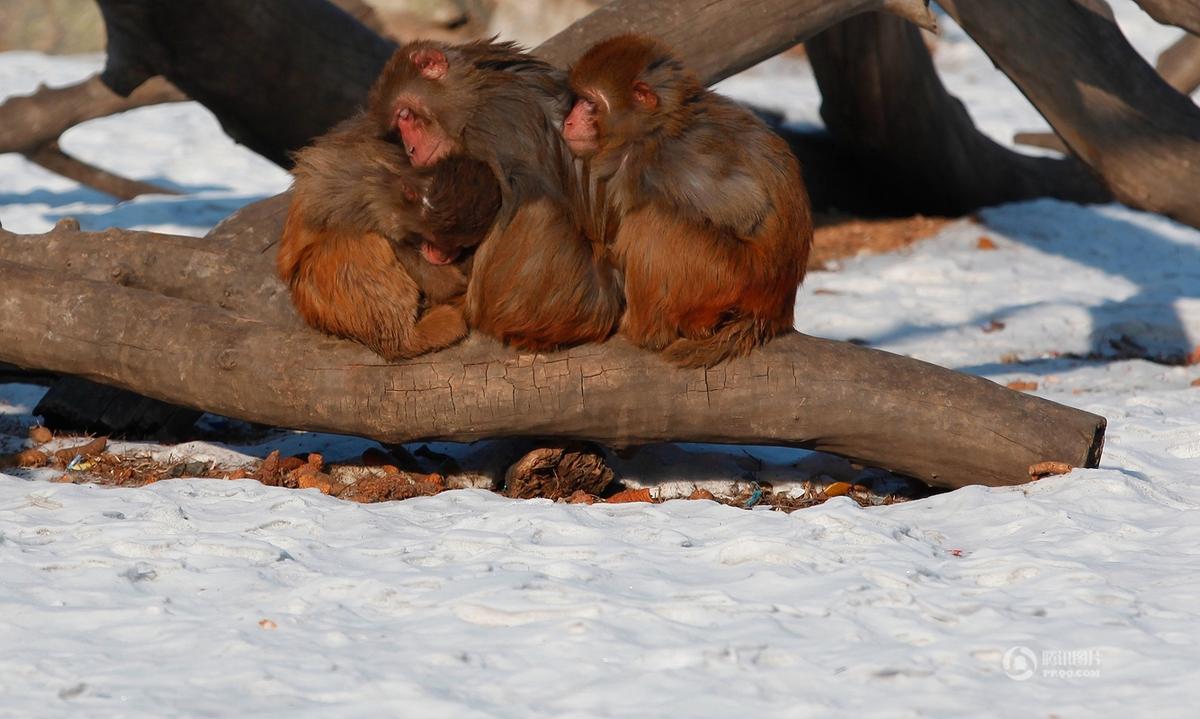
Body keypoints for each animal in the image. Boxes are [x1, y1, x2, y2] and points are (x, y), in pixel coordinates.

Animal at [277, 106, 501, 360]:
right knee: (361, 243)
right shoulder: (372, 194)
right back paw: (408, 339)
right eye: (434, 240)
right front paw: (450, 285)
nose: (442, 256)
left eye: (459, 246)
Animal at [374, 40, 624, 352]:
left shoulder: (492, 122)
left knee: (536, 211)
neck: (475, 91)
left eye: (406, 116)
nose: (410, 150)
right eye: (398, 128)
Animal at [559, 34, 806, 369]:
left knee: (650, 221)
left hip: (730, 276)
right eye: (579, 100)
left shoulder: (665, 161)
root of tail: (774, 310)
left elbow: (747, 206)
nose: (569, 122)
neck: (660, 124)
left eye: (590, 103)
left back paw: (649, 331)